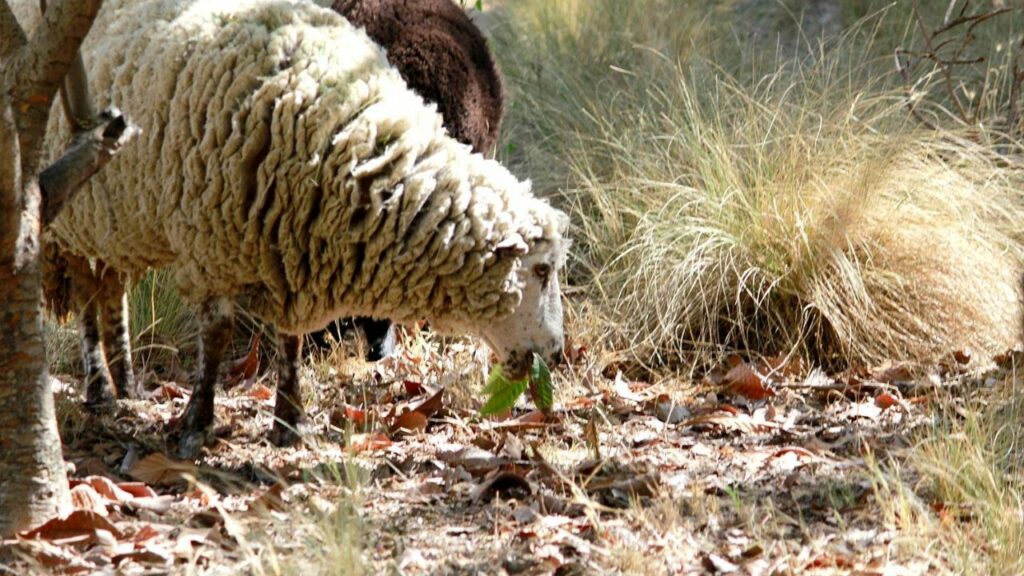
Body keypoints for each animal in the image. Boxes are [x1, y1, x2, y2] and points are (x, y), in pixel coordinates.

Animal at [25, 0, 569, 457]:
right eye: (542, 271)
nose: (557, 353)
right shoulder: (213, 246)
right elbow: (217, 336)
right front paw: (197, 424)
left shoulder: (289, 245)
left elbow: (291, 341)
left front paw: (289, 421)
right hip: (73, 201)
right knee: (88, 299)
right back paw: (100, 389)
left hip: (112, 213)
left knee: (109, 288)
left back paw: (128, 382)